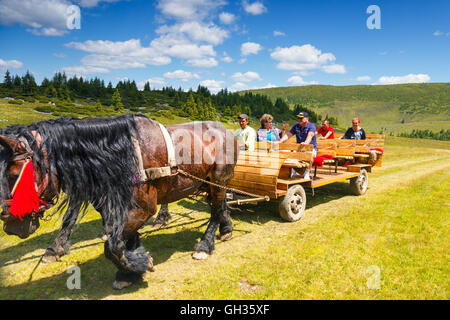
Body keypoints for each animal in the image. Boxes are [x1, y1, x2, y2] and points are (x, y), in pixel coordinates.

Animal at [0, 115, 239, 290]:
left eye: (14, 174)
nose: (11, 227)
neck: (123, 155)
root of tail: (227, 131)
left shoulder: (142, 208)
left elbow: (112, 246)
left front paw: (139, 264)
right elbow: (123, 238)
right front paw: (131, 267)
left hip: (218, 179)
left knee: (215, 210)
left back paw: (205, 245)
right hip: (206, 182)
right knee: (219, 206)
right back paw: (226, 227)